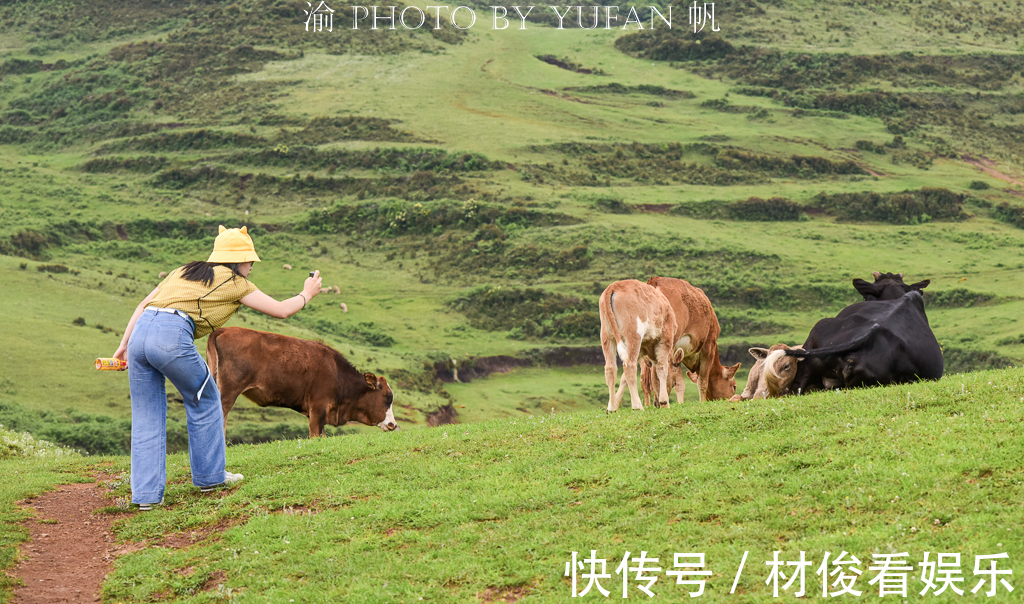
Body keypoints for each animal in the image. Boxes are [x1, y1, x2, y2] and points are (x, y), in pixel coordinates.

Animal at [205, 329, 397, 438]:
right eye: (387, 397)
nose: (393, 425)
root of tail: (224, 329)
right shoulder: (318, 407)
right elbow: (314, 436)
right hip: (228, 392)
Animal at [598, 278, 679, 411]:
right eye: (673, 381)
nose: (657, 403)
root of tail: (615, 285)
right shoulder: (665, 340)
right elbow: (662, 369)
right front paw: (664, 402)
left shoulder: (642, 351)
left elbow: (623, 378)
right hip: (633, 334)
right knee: (629, 366)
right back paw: (637, 406)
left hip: (607, 336)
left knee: (610, 368)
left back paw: (611, 407)